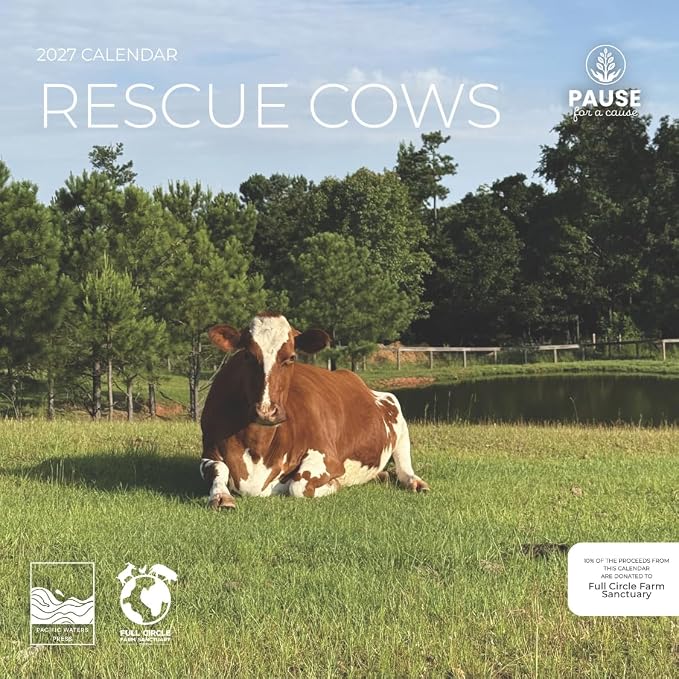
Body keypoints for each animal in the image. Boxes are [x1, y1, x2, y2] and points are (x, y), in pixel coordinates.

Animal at [199, 313, 429, 509]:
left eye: (291, 357)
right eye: (247, 355)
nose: (267, 411)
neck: (258, 446)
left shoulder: (328, 457)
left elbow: (299, 486)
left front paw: (335, 484)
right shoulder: (209, 449)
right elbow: (219, 468)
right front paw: (221, 496)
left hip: (397, 414)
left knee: (404, 465)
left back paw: (416, 482)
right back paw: (381, 476)